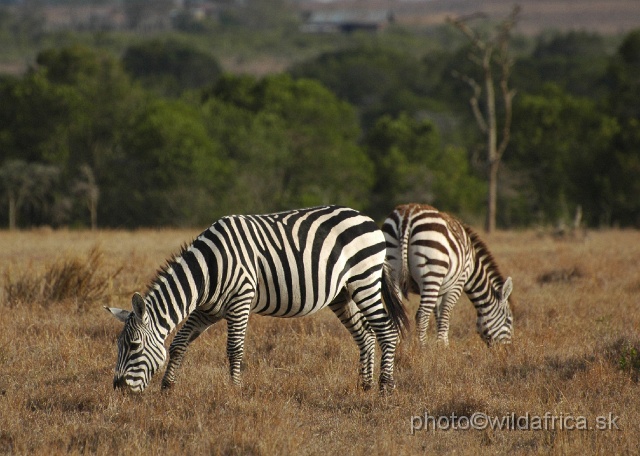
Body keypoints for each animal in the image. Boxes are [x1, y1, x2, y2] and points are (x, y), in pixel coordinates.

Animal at [102, 206, 408, 392]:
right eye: (118, 345)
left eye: (133, 345)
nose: (118, 387)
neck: (207, 270)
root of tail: (366, 218)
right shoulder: (208, 309)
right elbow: (178, 343)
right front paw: (167, 387)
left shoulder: (240, 299)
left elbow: (234, 349)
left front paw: (235, 390)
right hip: (342, 293)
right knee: (365, 334)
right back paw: (365, 386)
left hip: (365, 279)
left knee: (386, 331)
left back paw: (385, 387)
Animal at [382, 203, 512, 346]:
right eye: (509, 320)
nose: (507, 349)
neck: (472, 264)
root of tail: (407, 215)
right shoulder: (458, 283)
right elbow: (445, 315)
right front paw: (443, 346)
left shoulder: (441, 288)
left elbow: (439, 315)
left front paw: (441, 344)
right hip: (432, 272)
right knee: (421, 315)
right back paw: (423, 347)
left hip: (393, 273)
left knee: (397, 313)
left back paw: (397, 346)